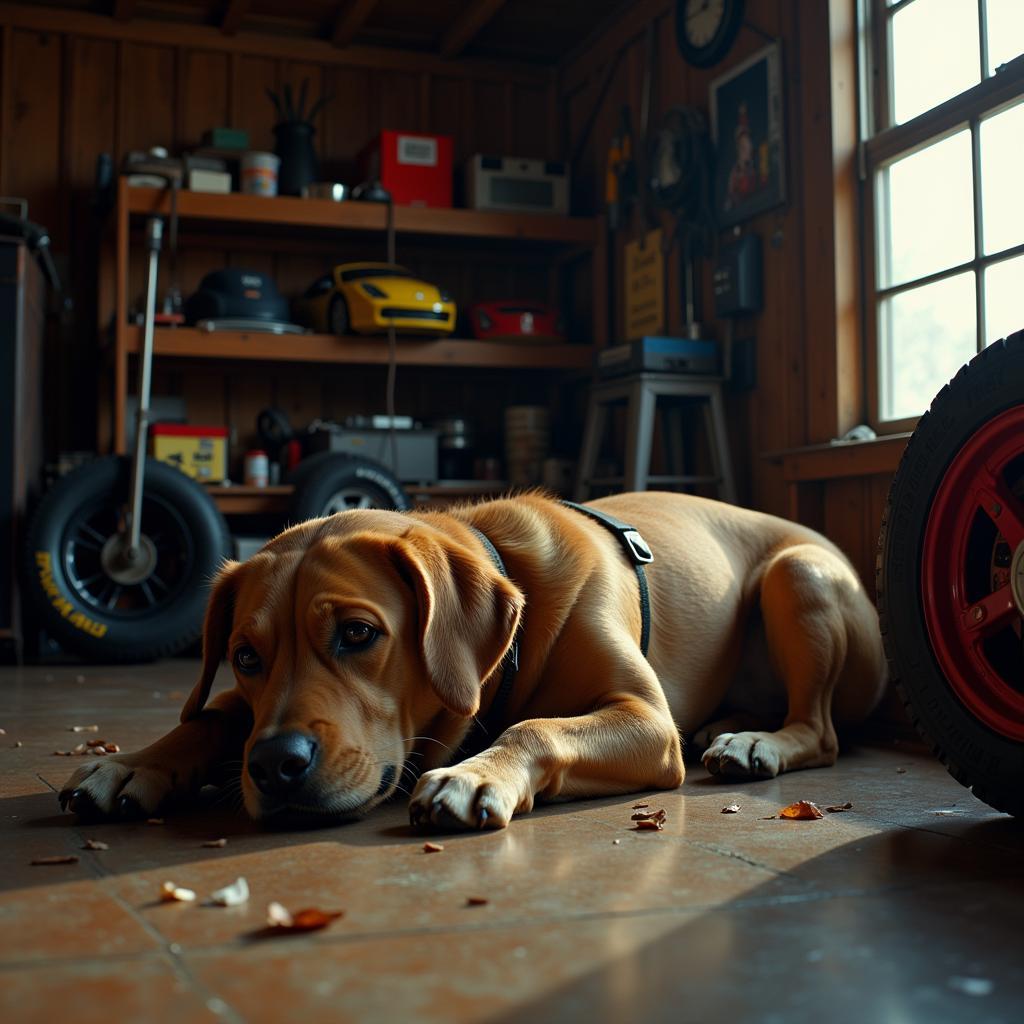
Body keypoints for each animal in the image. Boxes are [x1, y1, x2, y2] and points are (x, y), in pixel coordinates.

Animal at [58, 489, 888, 831]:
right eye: (244, 655)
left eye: (357, 634)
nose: (273, 767)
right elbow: (210, 717)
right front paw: (134, 765)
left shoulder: (647, 722)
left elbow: (538, 727)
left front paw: (473, 774)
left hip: (797, 575)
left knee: (821, 732)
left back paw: (757, 742)